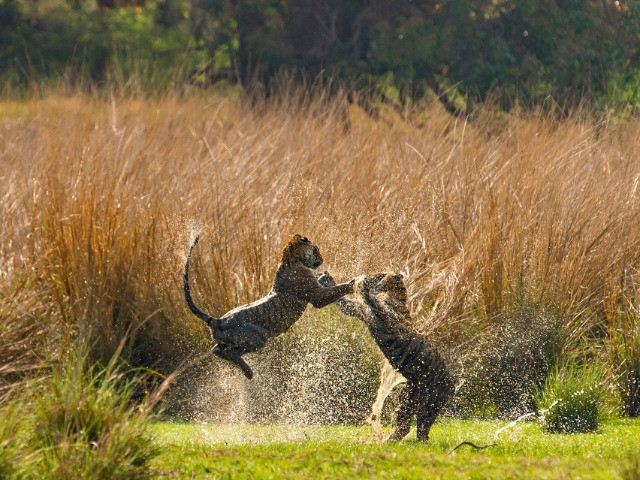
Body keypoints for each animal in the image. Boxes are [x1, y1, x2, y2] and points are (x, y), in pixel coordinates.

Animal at [184, 234, 359, 379]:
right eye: (316, 250)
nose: (322, 259)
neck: (289, 259)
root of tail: (218, 320)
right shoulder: (317, 297)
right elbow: (336, 290)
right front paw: (353, 283)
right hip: (257, 338)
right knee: (229, 351)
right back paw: (248, 373)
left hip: (228, 340)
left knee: (216, 349)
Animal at [318, 271, 454, 442]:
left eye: (378, 275)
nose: (370, 277)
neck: (394, 295)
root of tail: (451, 384)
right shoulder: (360, 310)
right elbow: (345, 301)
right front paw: (327, 280)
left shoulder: (381, 313)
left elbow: (370, 298)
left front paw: (362, 284)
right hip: (409, 398)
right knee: (412, 428)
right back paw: (392, 440)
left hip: (427, 404)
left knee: (414, 428)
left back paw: (389, 441)